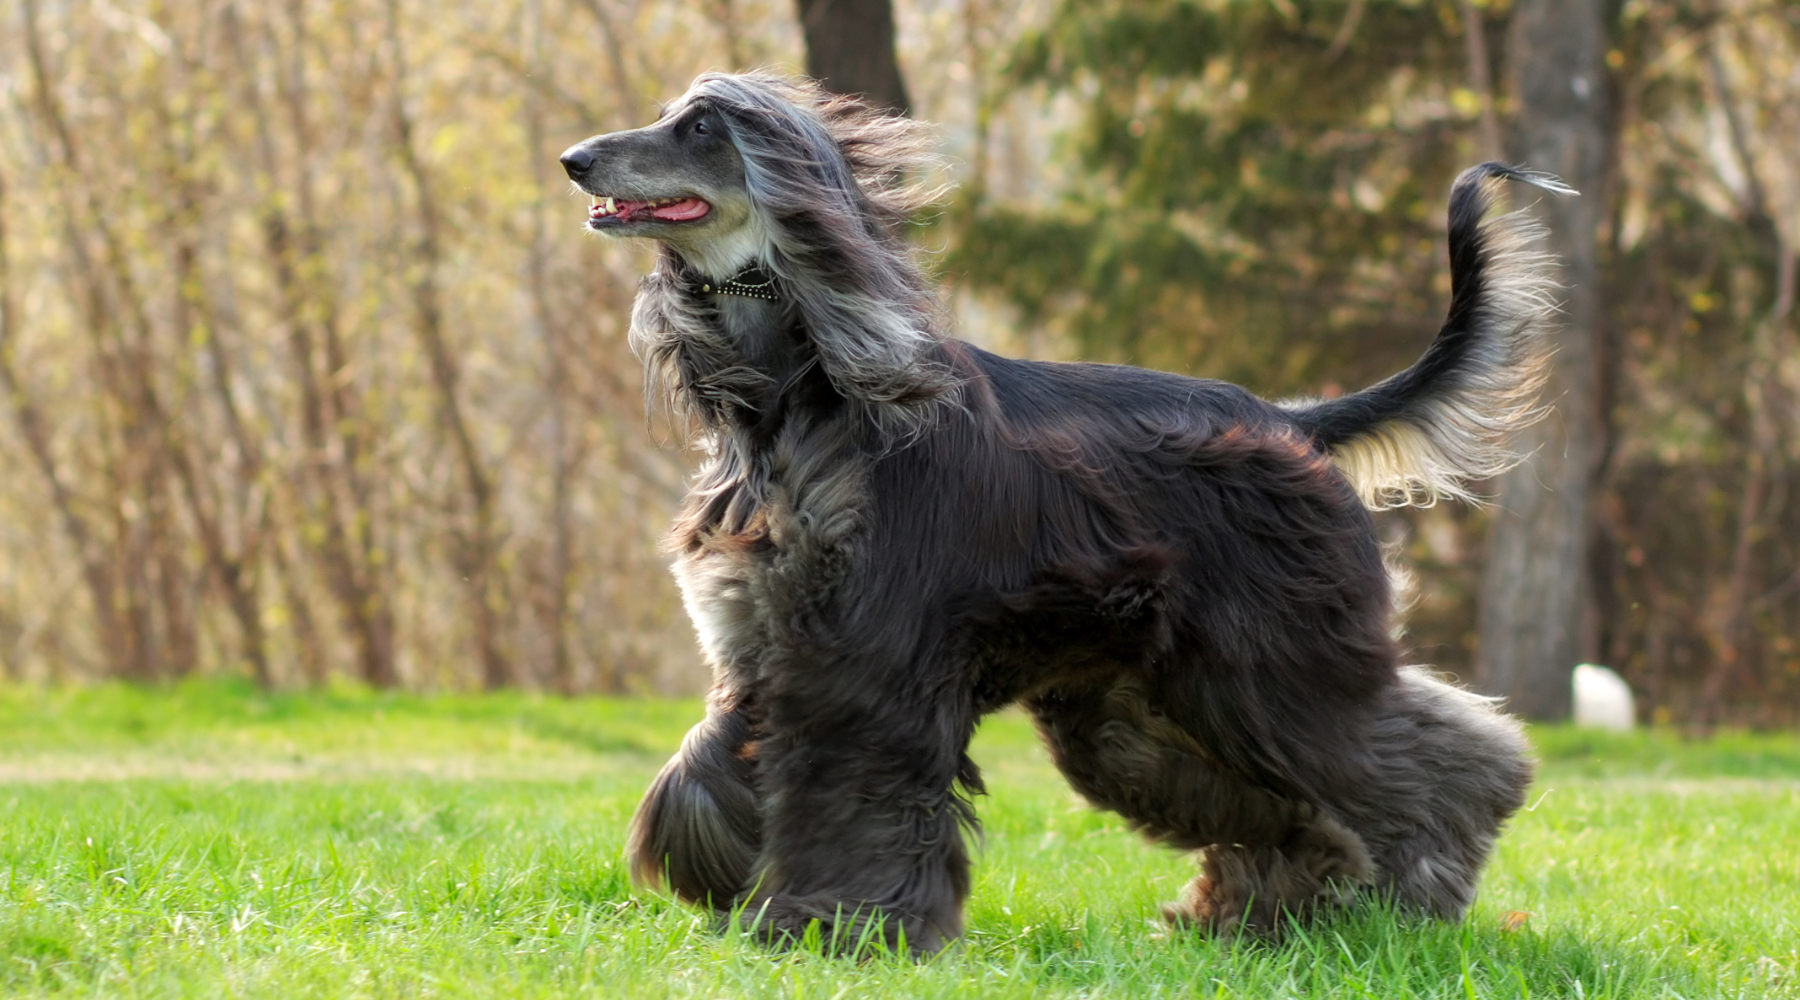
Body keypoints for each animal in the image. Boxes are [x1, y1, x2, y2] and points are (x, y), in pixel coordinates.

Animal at [558, 72, 1562, 949]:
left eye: (700, 127)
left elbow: (853, 790)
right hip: (1143, 702)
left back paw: (1417, 898)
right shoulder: (763, 635)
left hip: (1271, 658)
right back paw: (1256, 918)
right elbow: (709, 761)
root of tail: (1292, 420)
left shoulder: (866, 656)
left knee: (1443, 761)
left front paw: (839, 927)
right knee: (1276, 800)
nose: (575, 160)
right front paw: (728, 884)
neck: (801, 391)